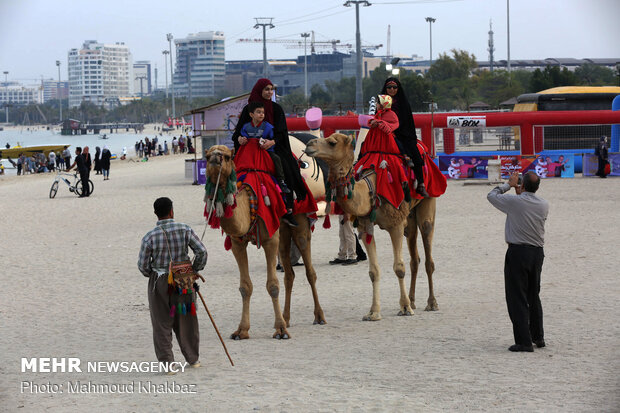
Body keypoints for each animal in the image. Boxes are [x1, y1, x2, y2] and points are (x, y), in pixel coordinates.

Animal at [206, 144, 326, 338]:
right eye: (207, 155)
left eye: (227, 156)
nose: (215, 159)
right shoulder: (237, 243)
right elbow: (245, 286)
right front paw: (241, 330)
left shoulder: (269, 240)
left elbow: (272, 285)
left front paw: (280, 330)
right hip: (282, 232)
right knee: (289, 274)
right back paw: (287, 318)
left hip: (301, 223)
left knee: (310, 271)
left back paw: (319, 316)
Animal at [304, 134, 438, 320]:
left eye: (332, 142)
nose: (309, 144)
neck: (369, 190)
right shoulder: (365, 226)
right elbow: (373, 271)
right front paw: (373, 312)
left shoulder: (395, 224)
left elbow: (399, 267)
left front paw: (404, 308)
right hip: (409, 217)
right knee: (414, 257)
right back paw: (412, 300)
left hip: (428, 201)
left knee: (427, 250)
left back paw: (431, 303)